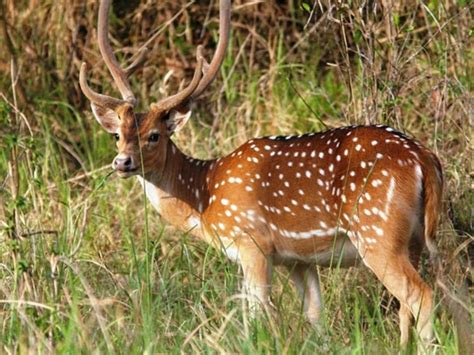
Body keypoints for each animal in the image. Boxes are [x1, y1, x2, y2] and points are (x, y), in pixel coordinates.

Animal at [78, 0, 448, 350]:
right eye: (117, 135)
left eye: (155, 135)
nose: (122, 162)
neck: (205, 195)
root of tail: (423, 157)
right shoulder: (297, 259)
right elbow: (316, 316)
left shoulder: (251, 242)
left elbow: (256, 315)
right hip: (412, 239)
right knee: (406, 304)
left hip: (377, 232)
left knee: (421, 295)